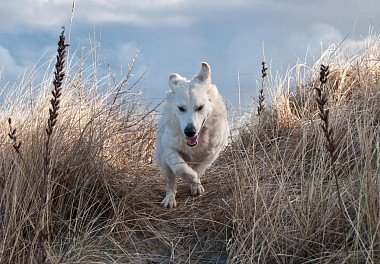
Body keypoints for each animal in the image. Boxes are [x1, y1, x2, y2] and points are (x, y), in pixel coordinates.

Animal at [155, 62, 229, 208]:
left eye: (200, 107)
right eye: (181, 108)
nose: (190, 131)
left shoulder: (212, 152)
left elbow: (199, 169)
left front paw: (195, 184)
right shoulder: (168, 147)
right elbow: (180, 167)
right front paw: (191, 177)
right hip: (164, 161)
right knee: (171, 182)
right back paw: (169, 199)